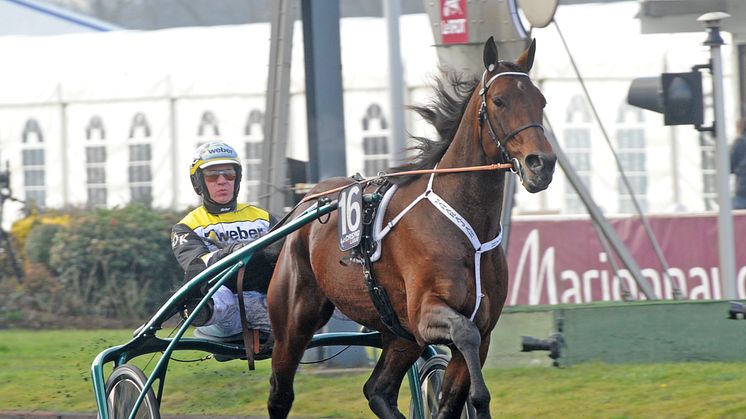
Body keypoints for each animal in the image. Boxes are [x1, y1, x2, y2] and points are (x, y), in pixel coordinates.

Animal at [266, 37, 552, 418]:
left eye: (540, 100)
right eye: (500, 100)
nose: (542, 164)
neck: (464, 225)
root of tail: (307, 201)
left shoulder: (482, 325)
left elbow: (451, 398)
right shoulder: (425, 314)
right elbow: (465, 338)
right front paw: (479, 397)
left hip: (399, 335)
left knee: (378, 390)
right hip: (294, 321)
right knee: (280, 392)